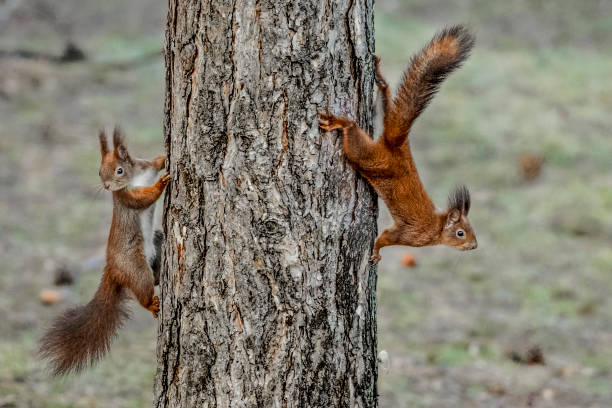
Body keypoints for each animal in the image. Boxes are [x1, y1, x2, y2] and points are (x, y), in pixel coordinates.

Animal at [39, 129, 170, 374]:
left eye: (119, 169)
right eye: (99, 171)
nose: (108, 186)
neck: (135, 177)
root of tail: (112, 268)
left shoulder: (144, 166)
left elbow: (154, 163)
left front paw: (165, 158)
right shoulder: (127, 197)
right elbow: (144, 198)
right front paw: (160, 184)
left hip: (156, 243)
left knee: (156, 275)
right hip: (136, 268)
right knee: (143, 288)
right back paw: (151, 304)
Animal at [320, 25, 478, 262]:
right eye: (461, 233)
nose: (474, 245)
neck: (437, 227)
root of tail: (396, 144)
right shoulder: (411, 233)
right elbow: (386, 237)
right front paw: (376, 253)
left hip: (382, 122)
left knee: (387, 99)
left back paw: (380, 78)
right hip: (368, 158)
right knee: (353, 133)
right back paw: (339, 122)